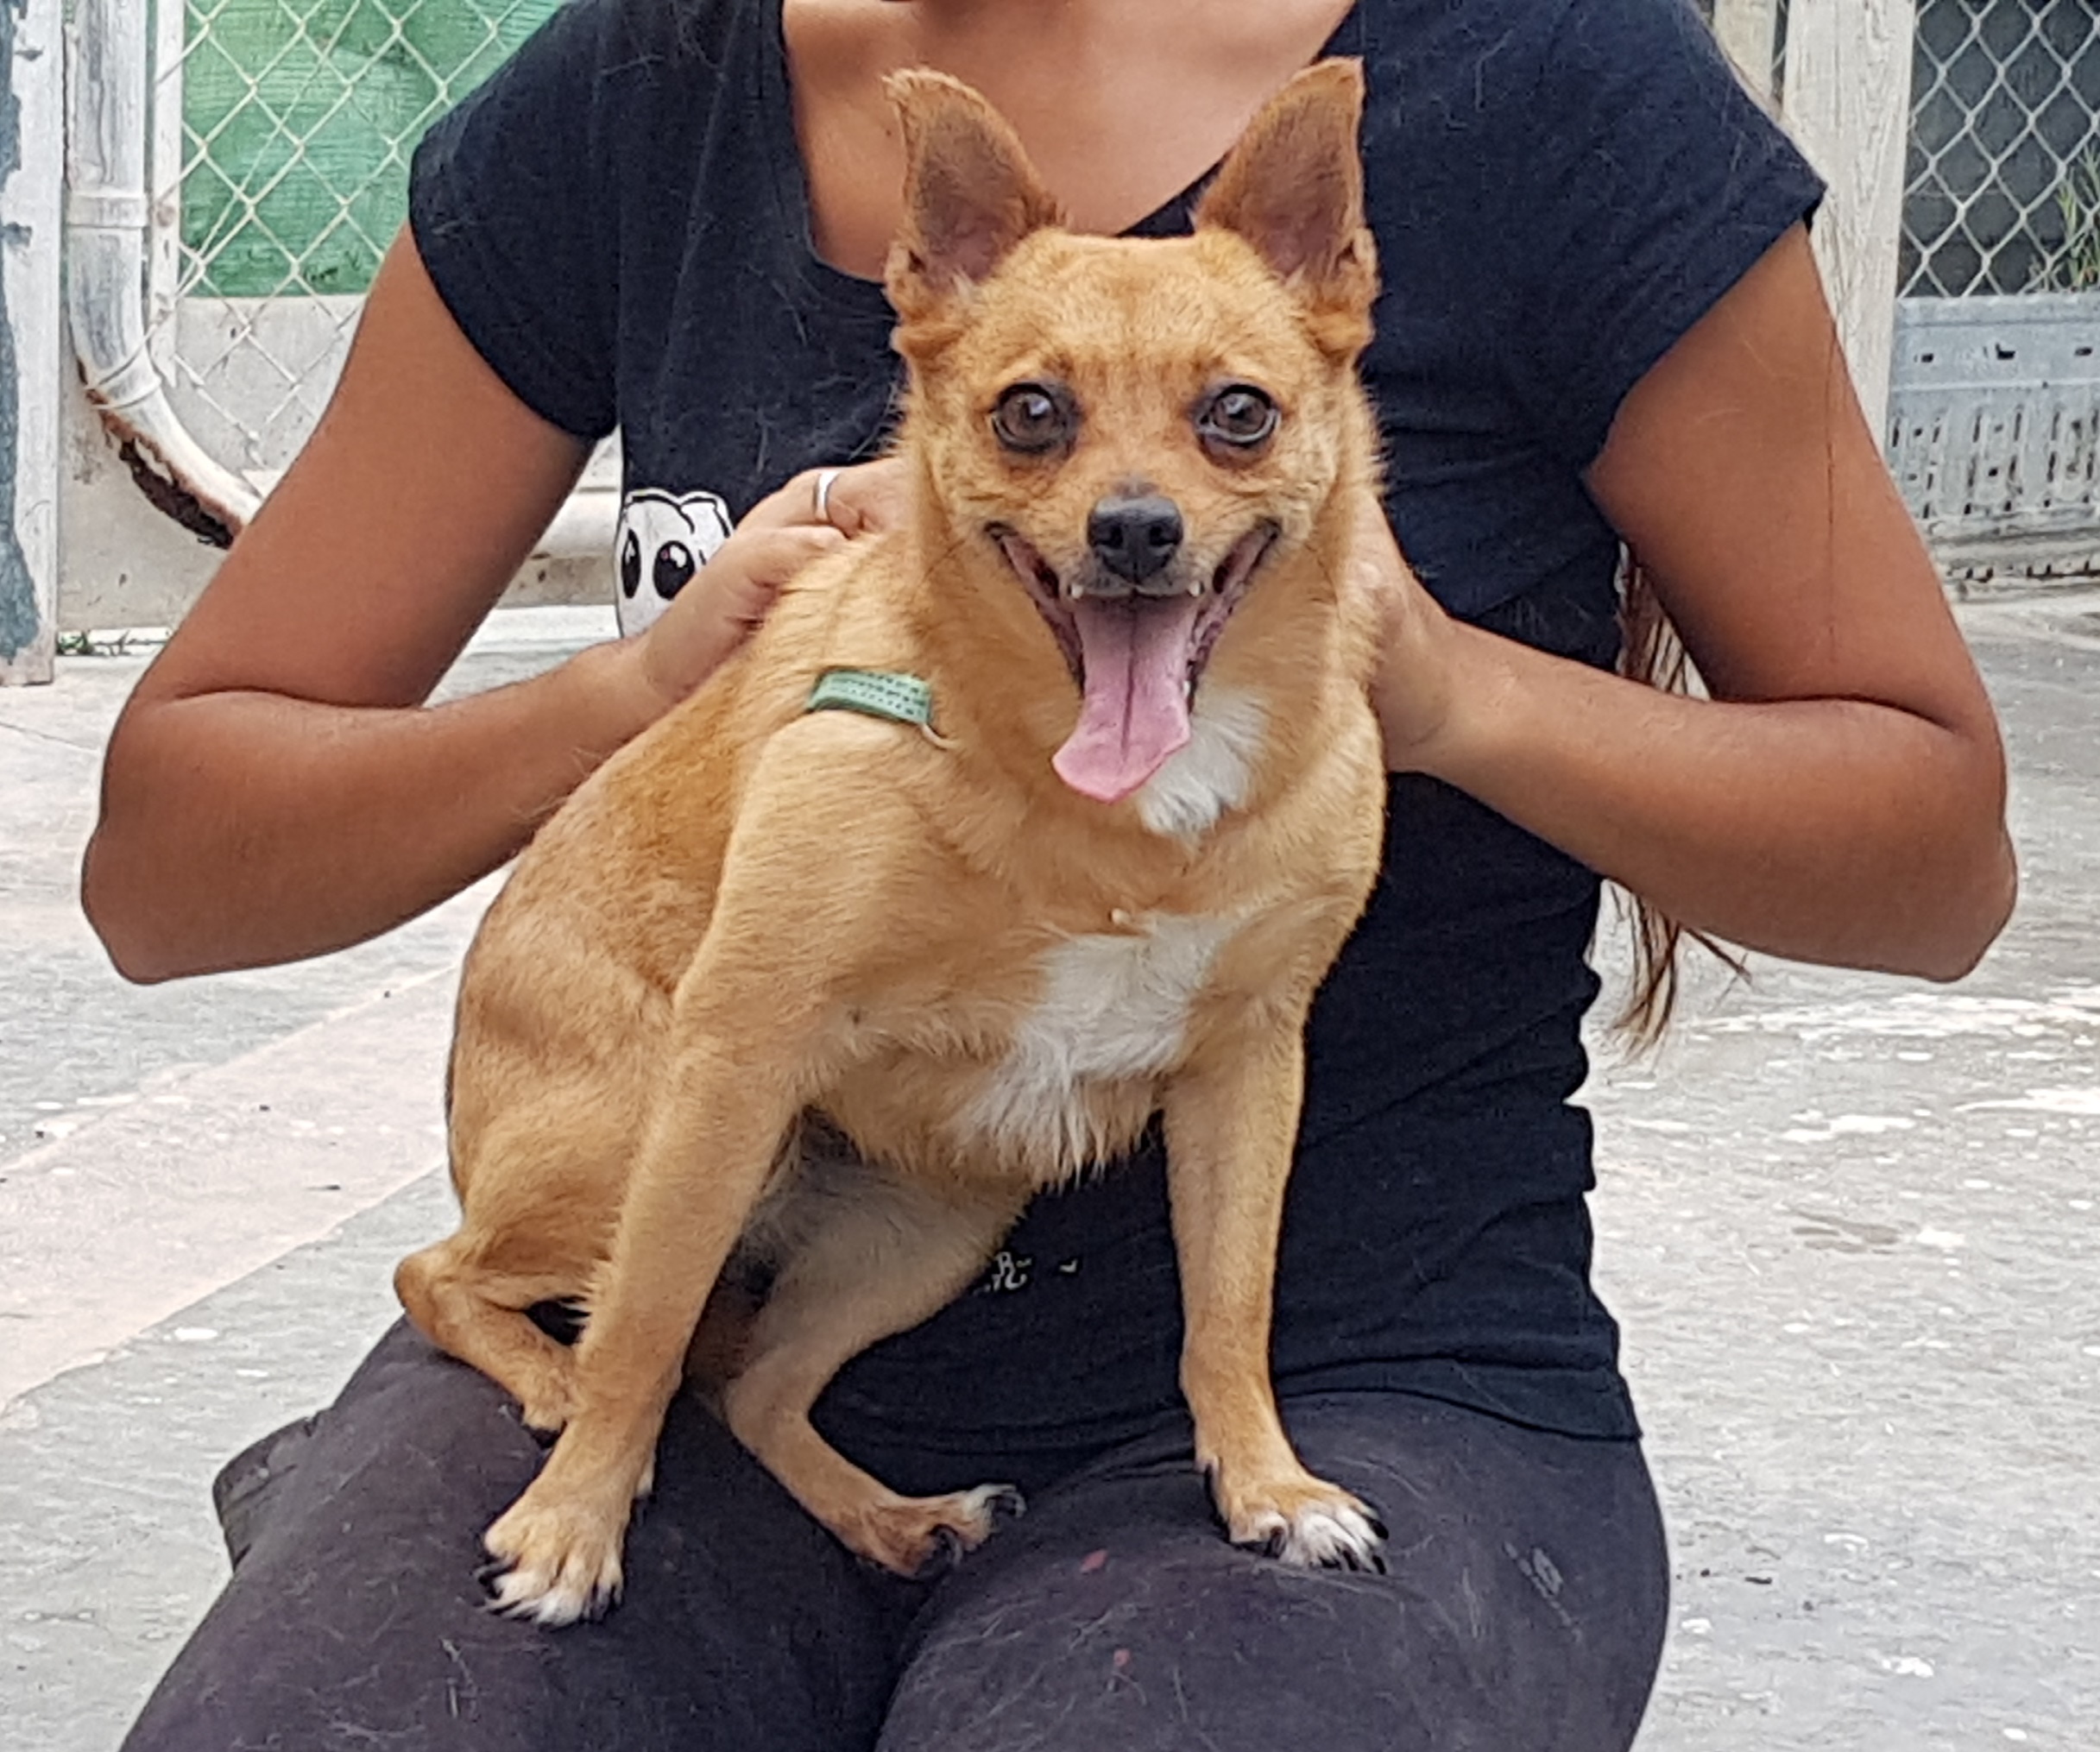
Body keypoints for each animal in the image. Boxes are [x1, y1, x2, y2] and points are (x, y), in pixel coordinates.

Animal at [395, 59, 1391, 1626]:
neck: (1103, 806)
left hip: (929, 1228)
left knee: (752, 1387)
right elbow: (645, 1334)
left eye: (1240, 413)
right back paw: (551, 1391)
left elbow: (1229, 1308)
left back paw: (889, 1518)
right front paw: (571, 1528)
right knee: (461, 1277)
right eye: (1029, 413)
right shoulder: (738, 1053)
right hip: (643, 1146)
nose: (1134, 529)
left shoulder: (1245, 1071)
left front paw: (1267, 1487)